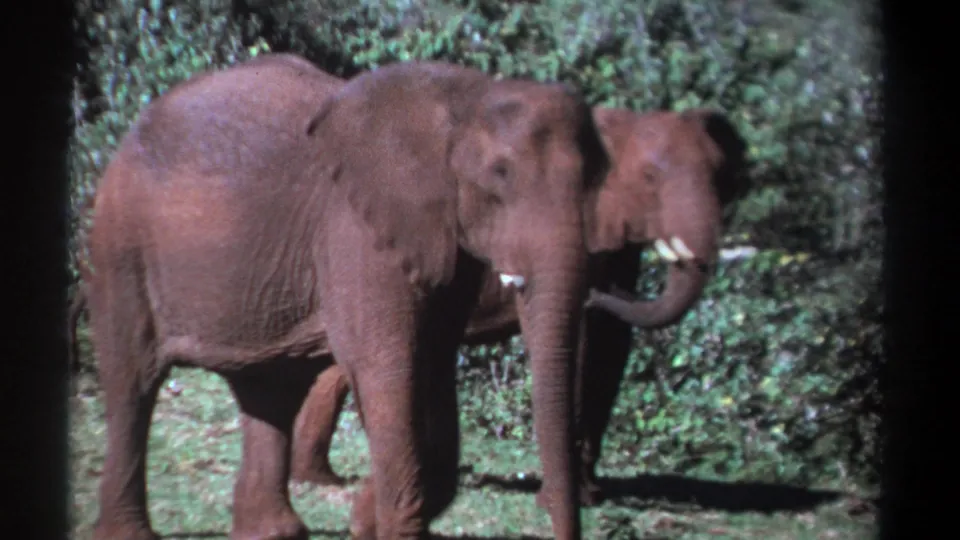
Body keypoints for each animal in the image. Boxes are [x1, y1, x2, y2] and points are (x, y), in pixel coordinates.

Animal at [79, 52, 614, 540]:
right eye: (499, 176)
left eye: (595, 182)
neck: (463, 96)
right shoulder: (357, 231)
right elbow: (388, 370)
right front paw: (376, 523)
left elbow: (434, 372)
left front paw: (363, 519)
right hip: (120, 245)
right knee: (133, 381)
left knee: (267, 390)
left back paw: (273, 533)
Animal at [285, 105, 750, 506]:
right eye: (650, 177)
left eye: (721, 178)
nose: (603, 290)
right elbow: (584, 342)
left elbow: (611, 344)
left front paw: (590, 496)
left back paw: (319, 479)